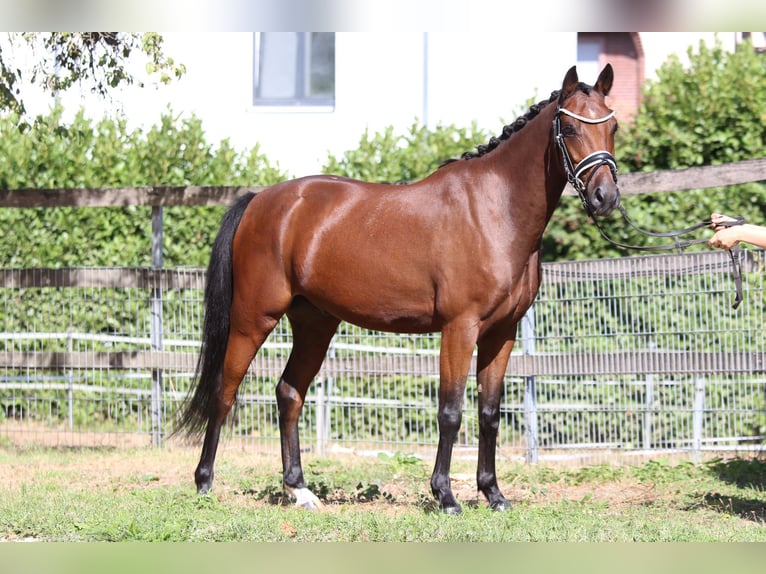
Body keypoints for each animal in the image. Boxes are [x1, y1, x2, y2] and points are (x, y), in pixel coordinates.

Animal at [180, 65, 624, 516]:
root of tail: (259, 201)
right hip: (253, 319)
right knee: (224, 392)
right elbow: (450, 411)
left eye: (613, 127)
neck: (495, 209)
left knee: (289, 393)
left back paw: (299, 489)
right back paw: (205, 483)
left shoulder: (502, 334)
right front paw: (445, 496)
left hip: (314, 324)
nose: (605, 196)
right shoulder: (459, 328)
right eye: (569, 127)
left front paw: (494, 494)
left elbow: (489, 412)